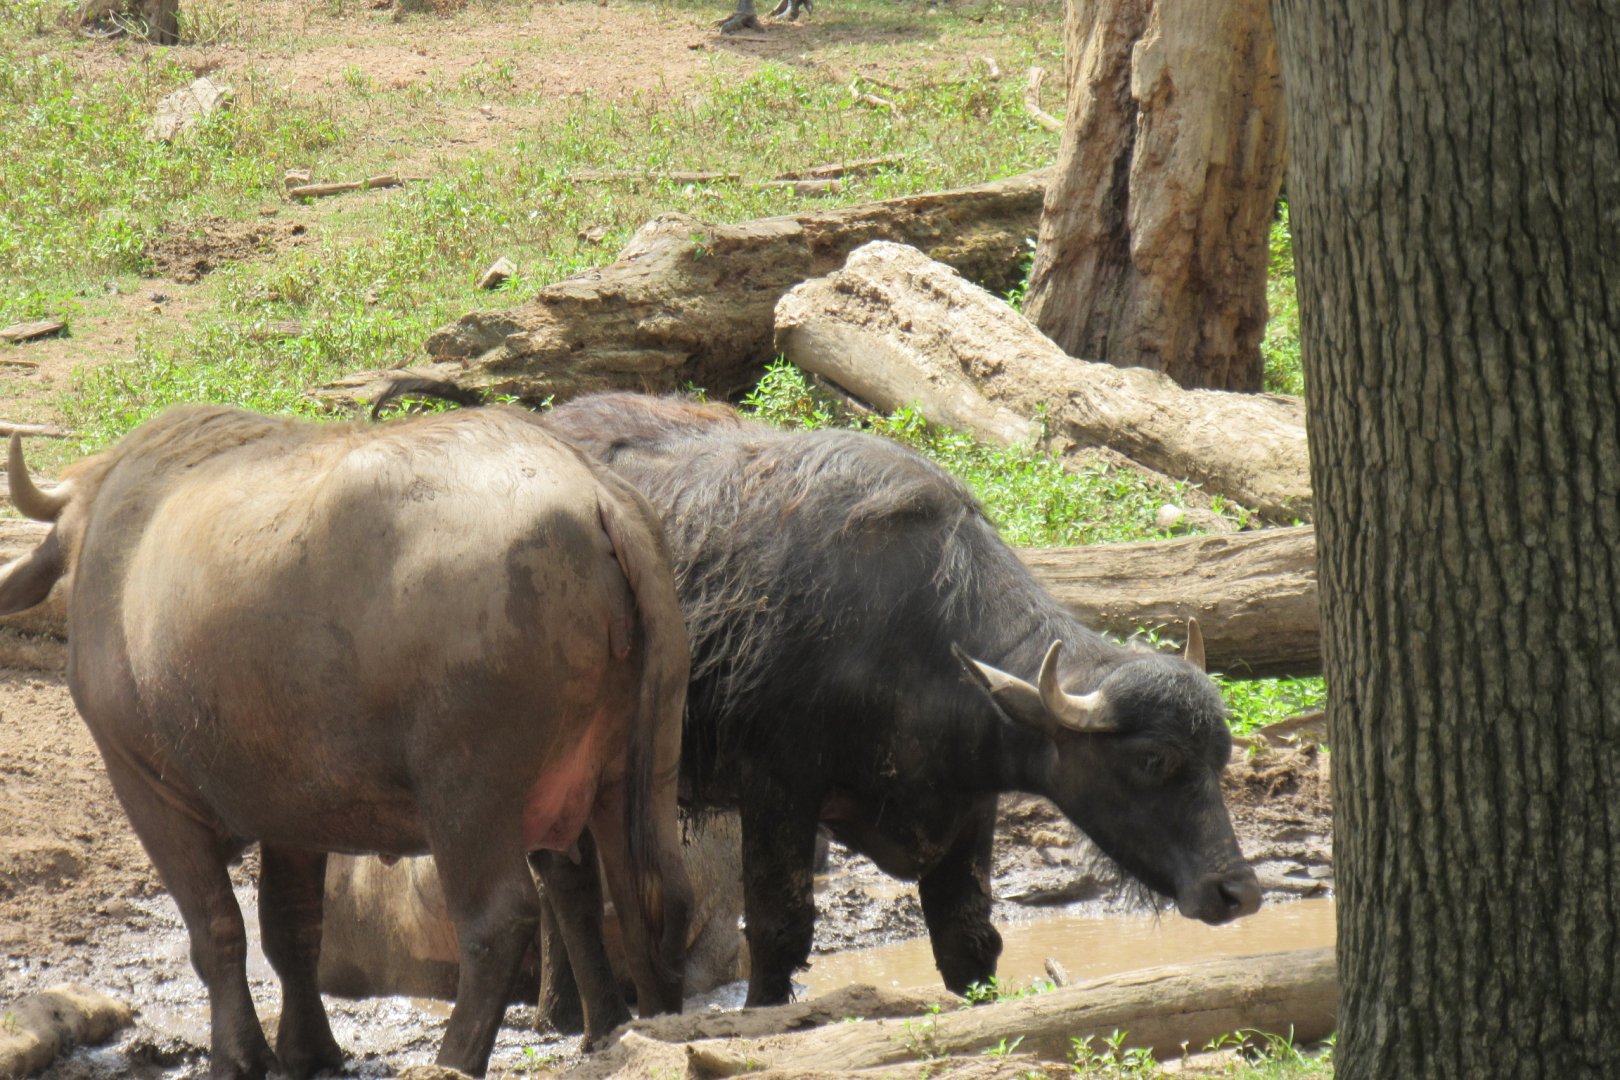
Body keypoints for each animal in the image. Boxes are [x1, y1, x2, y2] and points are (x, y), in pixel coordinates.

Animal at [0, 404, 693, 1076]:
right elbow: (291, 930)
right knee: (645, 894)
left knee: (499, 917)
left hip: (468, 793)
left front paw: (241, 1056)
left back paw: (455, 1056)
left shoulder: (148, 787)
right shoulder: (293, 810)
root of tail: (593, 493)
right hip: (635, 768)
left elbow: (217, 928)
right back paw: (631, 1030)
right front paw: (309, 1049)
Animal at [375, 383, 1263, 1010]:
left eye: (1219, 758)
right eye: (1152, 761)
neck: (912, 634)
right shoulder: (777, 786)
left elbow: (968, 940)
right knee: (564, 881)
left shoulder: (966, 807)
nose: (1237, 891)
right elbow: (777, 929)